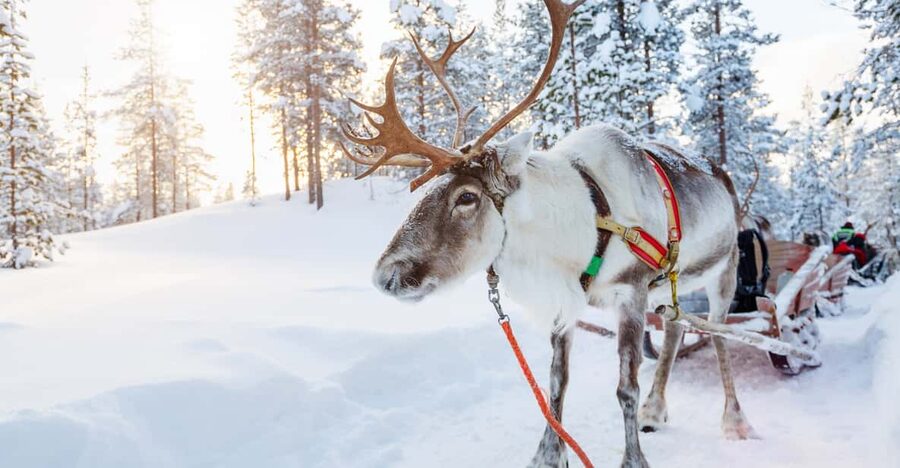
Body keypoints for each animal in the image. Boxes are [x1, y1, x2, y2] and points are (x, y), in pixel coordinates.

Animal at [340, 1, 757, 466]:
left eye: (466, 196)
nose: (385, 276)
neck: (584, 223)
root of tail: (722, 174)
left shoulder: (631, 292)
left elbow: (624, 388)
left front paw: (634, 458)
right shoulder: (566, 299)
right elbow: (556, 383)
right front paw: (547, 455)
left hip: (725, 271)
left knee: (718, 334)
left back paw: (735, 420)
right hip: (671, 284)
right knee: (675, 329)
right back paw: (656, 409)